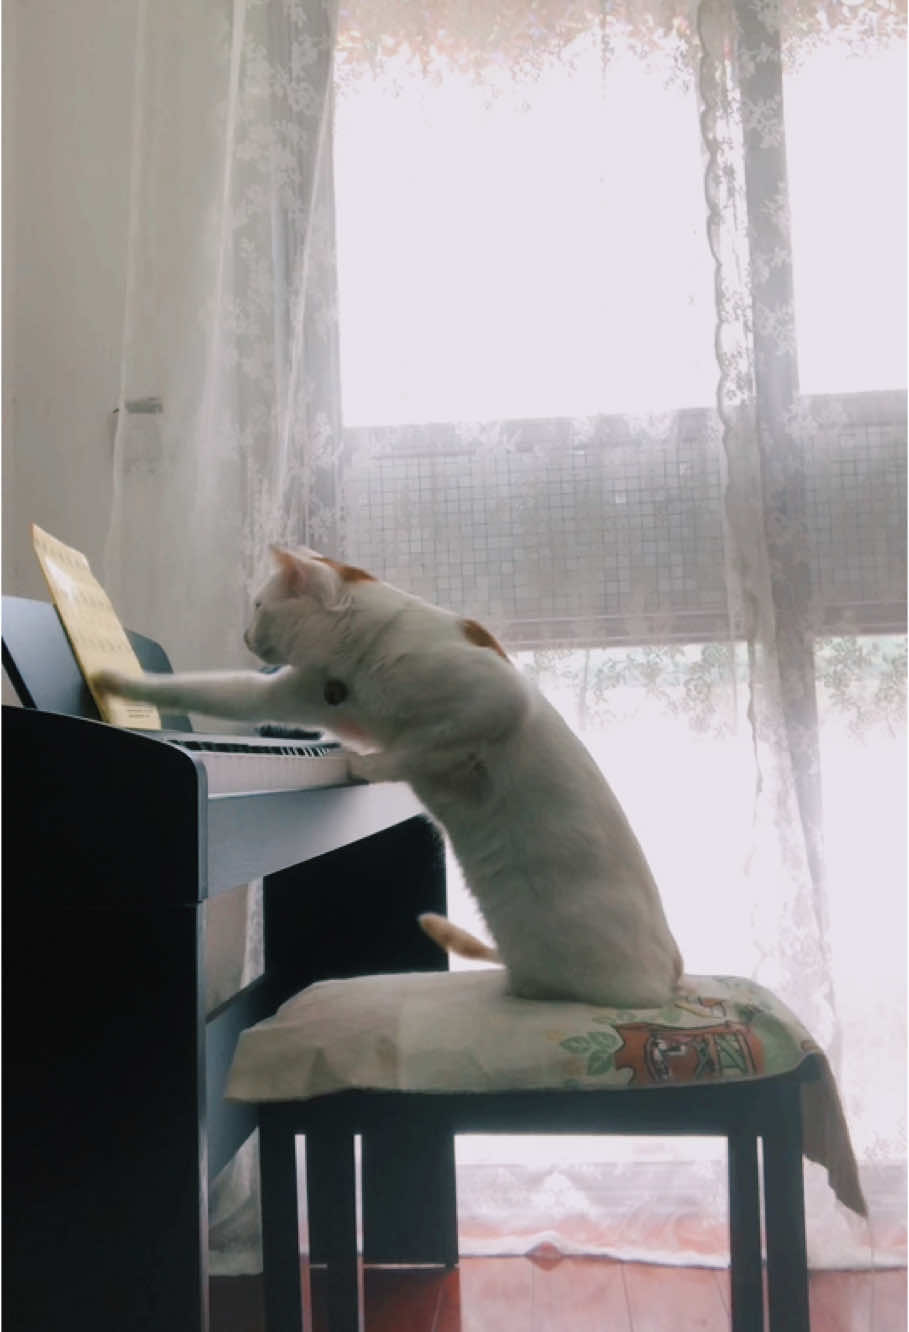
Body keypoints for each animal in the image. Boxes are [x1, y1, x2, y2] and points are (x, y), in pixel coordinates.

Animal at [97, 546, 679, 1001]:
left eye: (260, 607)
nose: (244, 634)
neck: (356, 666)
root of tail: (674, 977)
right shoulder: (289, 694)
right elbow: (204, 689)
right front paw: (116, 682)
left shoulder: (496, 702)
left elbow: (417, 746)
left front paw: (363, 762)